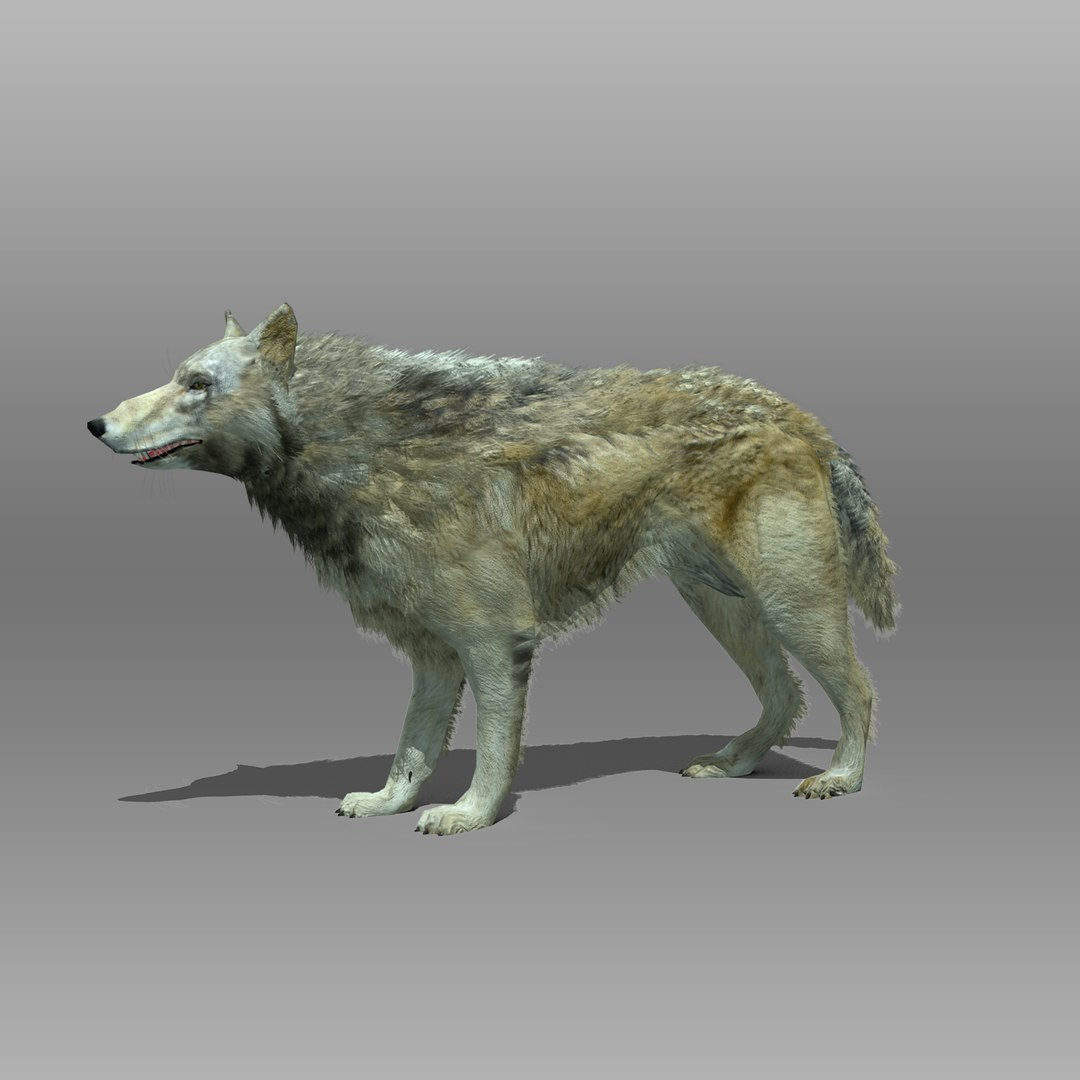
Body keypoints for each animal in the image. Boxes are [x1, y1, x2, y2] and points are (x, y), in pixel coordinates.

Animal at [88, 303, 899, 834]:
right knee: (785, 693)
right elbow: (412, 749)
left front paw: (470, 815)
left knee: (858, 688)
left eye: (197, 383)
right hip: (723, 608)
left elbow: (491, 747)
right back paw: (735, 764)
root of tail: (799, 415)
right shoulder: (431, 654)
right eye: (177, 377)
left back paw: (842, 780)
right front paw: (389, 804)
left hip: (791, 606)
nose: (96, 423)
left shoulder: (496, 642)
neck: (364, 449)